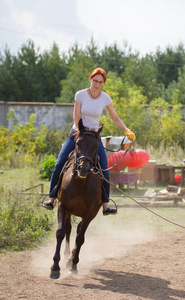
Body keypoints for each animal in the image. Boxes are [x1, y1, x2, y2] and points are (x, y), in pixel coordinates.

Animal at [49, 119, 103, 278]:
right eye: (78, 142)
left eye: (96, 145)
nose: (83, 168)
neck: (80, 183)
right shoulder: (63, 206)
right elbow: (60, 232)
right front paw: (55, 267)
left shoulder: (89, 214)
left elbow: (80, 238)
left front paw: (73, 265)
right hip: (68, 212)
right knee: (68, 229)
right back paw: (67, 255)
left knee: (78, 231)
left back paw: (71, 258)